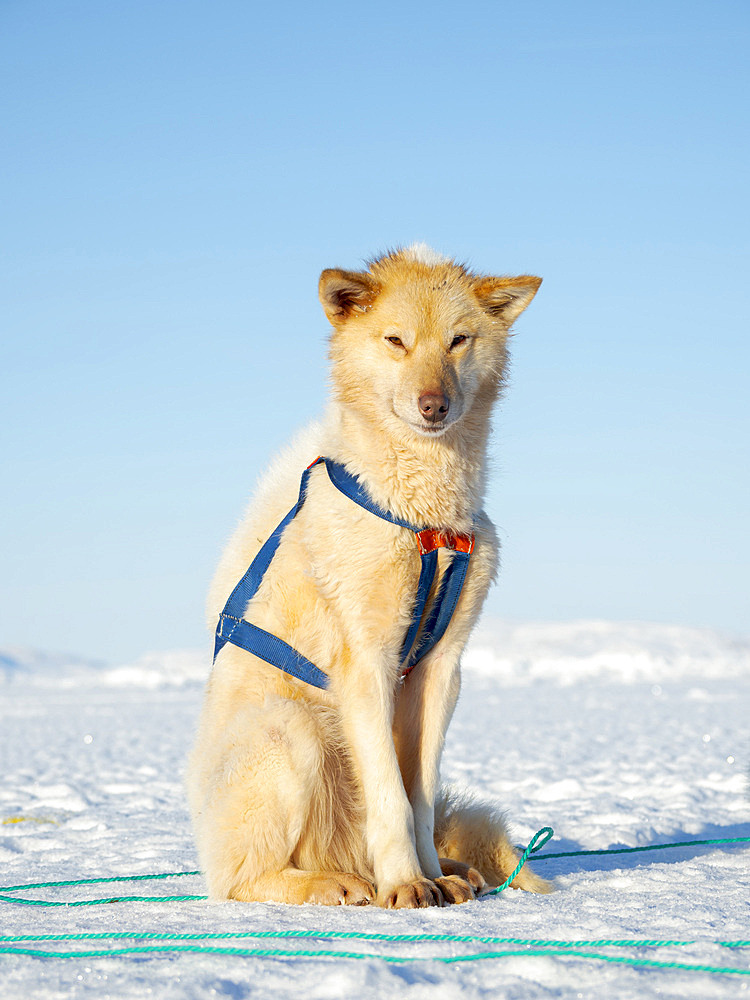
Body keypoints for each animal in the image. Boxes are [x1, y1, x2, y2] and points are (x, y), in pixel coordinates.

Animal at [188, 242, 552, 908]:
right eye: (395, 341)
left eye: (458, 340)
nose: (434, 405)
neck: (425, 519)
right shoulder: (368, 660)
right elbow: (390, 796)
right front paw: (407, 883)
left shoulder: (440, 669)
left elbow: (420, 797)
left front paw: (433, 875)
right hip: (292, 730)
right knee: (239, 880)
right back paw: (331, 884)